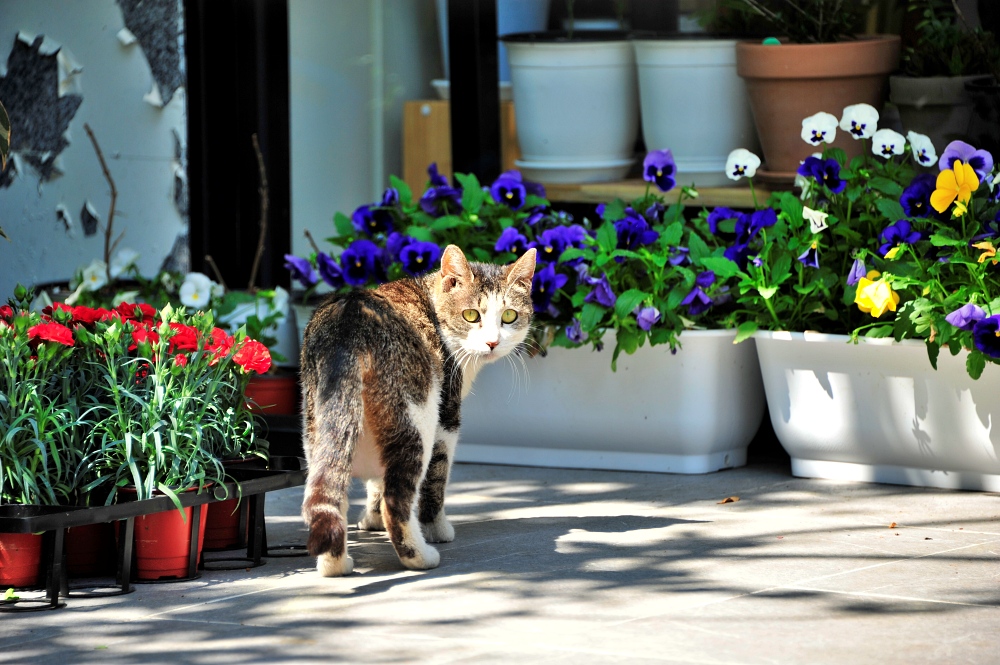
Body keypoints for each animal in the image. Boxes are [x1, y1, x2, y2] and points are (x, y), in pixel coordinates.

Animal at [300, 245, 536, 576]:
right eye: (471, 315)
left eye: (509, 316)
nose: (492, 342)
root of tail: (351, 321)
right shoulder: (446, 418)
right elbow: (435, 480)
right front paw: (437, 529)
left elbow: (376, 482)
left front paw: (370, 519)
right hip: (416, 418)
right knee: (396, 499)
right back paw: (420, 557)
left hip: (318, 423)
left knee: (328, 488)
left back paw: (335, 564)